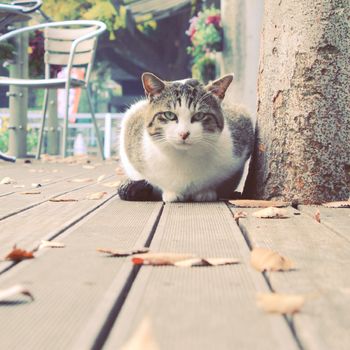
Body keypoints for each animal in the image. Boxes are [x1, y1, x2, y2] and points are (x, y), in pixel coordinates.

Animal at [119, 72, 253, 201]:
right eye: (169, 115)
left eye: (199, 115)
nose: (184, 133)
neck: (184, 156)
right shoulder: (132, 125)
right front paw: (170, 193)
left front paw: (205, 192)